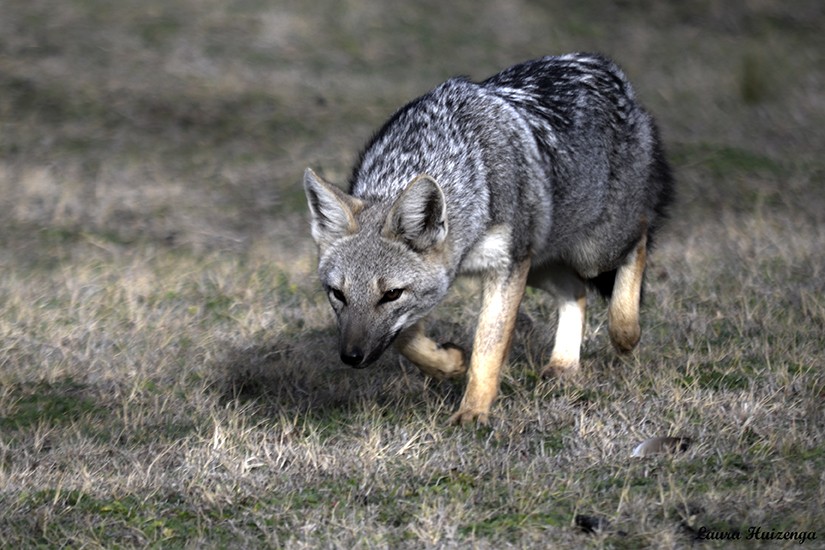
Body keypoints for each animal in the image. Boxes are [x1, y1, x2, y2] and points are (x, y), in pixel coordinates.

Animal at [302, 54, 668, 424]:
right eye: (338, 294)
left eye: (391, 294)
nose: (351, 357)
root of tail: (601, 64)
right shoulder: (487, 272)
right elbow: (407, 339)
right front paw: (448, 363)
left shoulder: (504, 268)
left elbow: (488, 346)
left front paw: (473, 411)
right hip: (538, 263)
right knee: (576, 293)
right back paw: (564, 364)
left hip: (593, 252)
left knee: (639, 239)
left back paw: (625, 332)